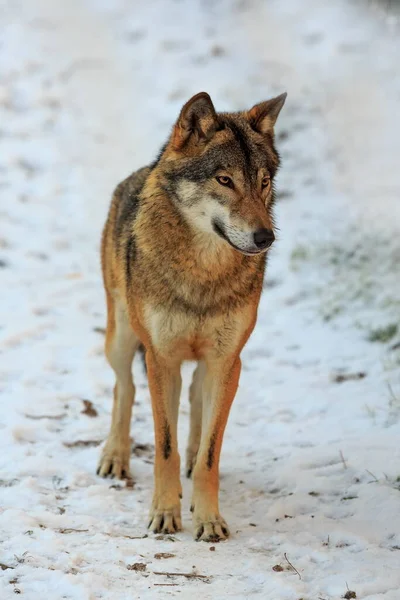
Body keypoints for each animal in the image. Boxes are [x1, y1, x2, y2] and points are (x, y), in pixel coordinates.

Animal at [98, 90, 286, 544]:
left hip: (207, 364)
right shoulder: (161, 359)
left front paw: (208, 519)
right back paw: (115, 456)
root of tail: (137, 173)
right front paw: (165, 514)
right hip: (122, 340)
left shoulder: (227, 361)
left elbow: (210, 454)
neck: (203, 273)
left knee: (197, 405)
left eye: (263, 182)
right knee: (123, 387)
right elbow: (163, 446)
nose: (265, 238)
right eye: (224, 180)